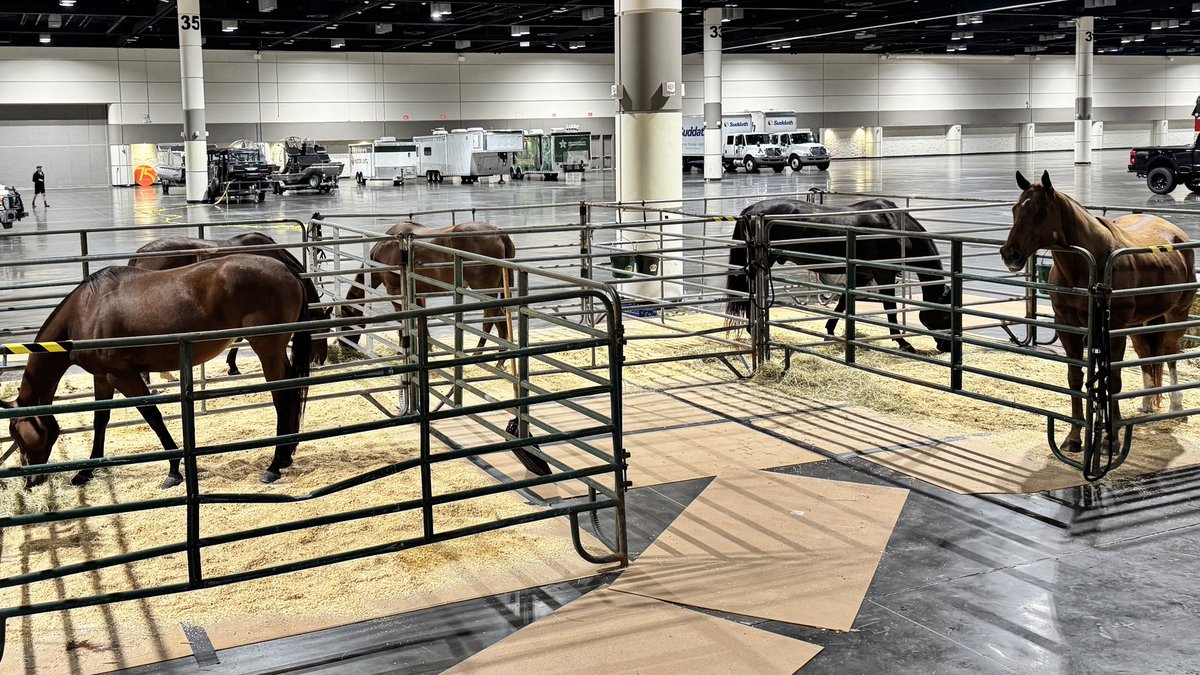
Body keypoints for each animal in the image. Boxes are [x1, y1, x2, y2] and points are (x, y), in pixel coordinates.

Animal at [1, 255, 312, 489]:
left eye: (17, 434)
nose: (30, 481)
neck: (86, 310)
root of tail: (287, 271)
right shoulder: (102, 376)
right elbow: (100, 419)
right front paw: (85, 471)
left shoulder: (122, 375)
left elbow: (152, 415)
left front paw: (174, 471)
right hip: (276, 352)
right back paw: (286, 455)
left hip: (267, 350)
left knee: (283, 397)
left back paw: (274, 464)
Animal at [725, 198, 954, 353]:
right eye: (945, 316)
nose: (947, 347)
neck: (895, 226)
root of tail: (749, 211)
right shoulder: (884, 275)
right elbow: (890, 309)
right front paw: (903, 342)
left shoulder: (861, 274)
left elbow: (843, 302)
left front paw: (830, 331)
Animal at [1000, 170, 1196, 454]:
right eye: (1015, 209)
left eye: (1041, 211)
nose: (1010, 254)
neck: (1088, 267)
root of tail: (1178, 234)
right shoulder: (1068, 327)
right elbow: (1075, 379)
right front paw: (1073, 438)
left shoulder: (1113, 330)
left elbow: (1112, 380)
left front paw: (1110, 441)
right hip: (1141, 324)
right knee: (1147, 356)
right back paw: (1146, 403)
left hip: (1175, 316)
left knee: (1170, 354)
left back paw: (1177, 406)